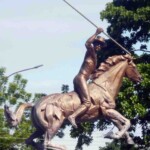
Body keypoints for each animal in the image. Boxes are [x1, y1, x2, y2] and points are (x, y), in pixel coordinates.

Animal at [4, 54, 141, 150]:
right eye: (134, 67)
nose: (140, 78)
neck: (104, 87)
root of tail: (35, 104)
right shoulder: (108, 110)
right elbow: (126, 121)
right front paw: (116, 135)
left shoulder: (106, 114)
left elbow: (121, 124)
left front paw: (122, 138)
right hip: (54, 124)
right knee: (46, 142)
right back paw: (63, 147)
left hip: (40, 128)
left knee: (31, 141)